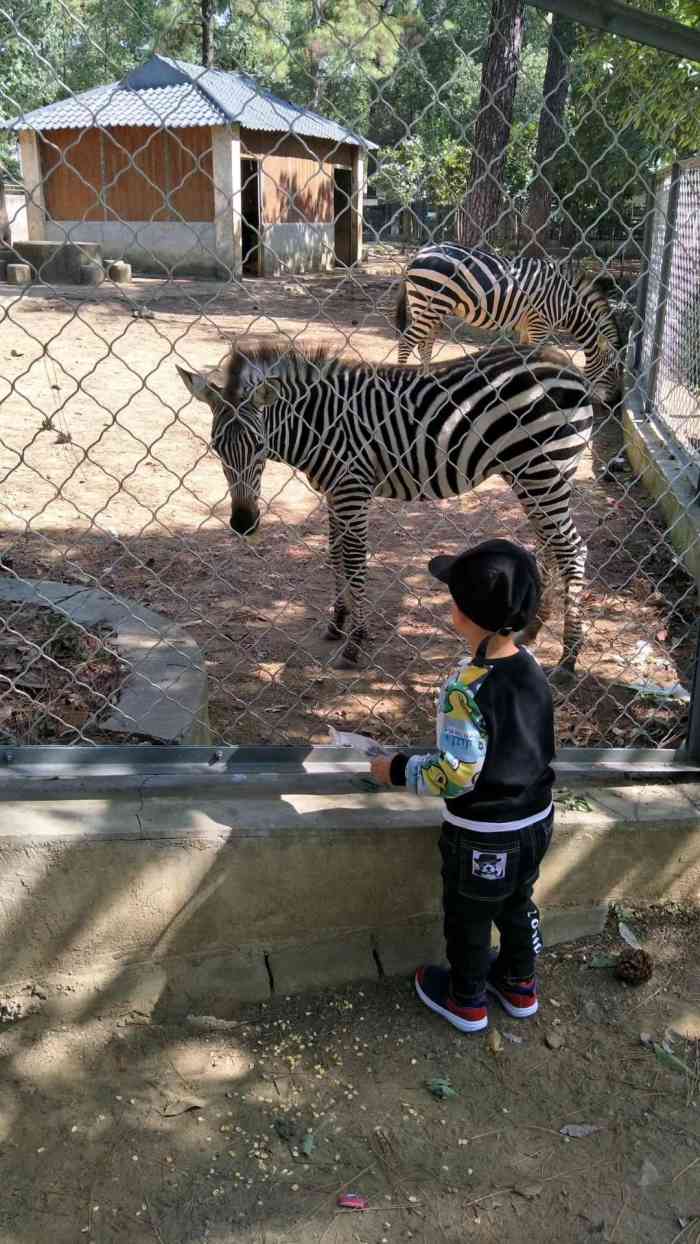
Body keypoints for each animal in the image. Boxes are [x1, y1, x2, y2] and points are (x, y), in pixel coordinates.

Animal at [177, 338, 594, 671]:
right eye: (216, 447)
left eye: (260, 446)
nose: (243, 523)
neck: (318, 425)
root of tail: (562, 361)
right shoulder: (334, 492)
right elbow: (334, 554)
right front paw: (337, 622)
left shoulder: (352, 488)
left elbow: (355, 560)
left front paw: (356, 642)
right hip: (529, 474)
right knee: (548, 545)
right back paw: (532, 629)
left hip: (544, 470)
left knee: (571, 550)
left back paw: (569, 657)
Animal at [397, 241, 621, 398]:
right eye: (611, 369)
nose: (614, 401)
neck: (566, 303)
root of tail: (419, 253)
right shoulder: (540, 323)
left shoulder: (528, 326)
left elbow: (524, 355)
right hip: (430, 303)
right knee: (407, 341)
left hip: (430, 308)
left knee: (425, 343)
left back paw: (427, 381)